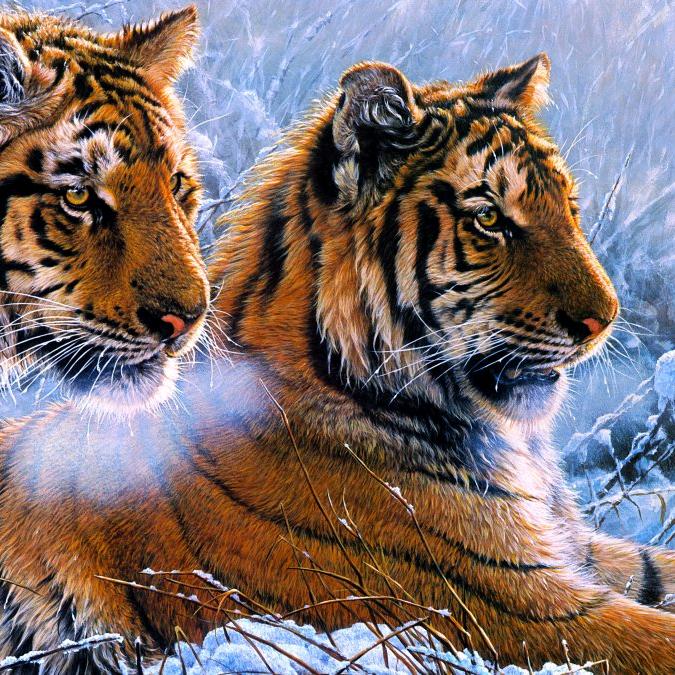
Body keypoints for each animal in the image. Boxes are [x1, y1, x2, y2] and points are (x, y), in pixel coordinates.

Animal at [0, 55, 674, 674]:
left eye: (570, 209)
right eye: (488, 218)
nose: (605, 318)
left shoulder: (573, 551)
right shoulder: (510, 604)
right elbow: (650, 640)